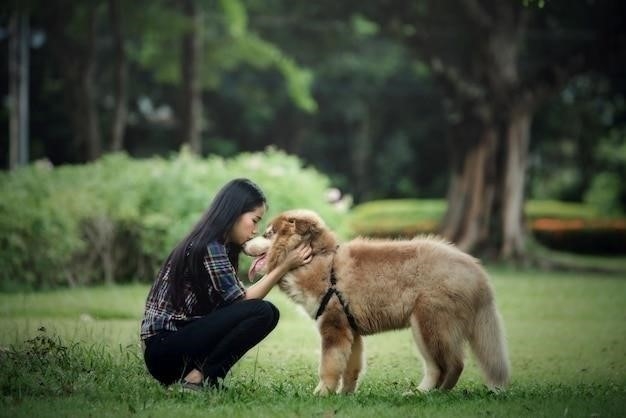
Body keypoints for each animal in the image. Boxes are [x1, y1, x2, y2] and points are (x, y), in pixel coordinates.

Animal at [243, 209, 508, 396]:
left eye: (268, 234)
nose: (244, 243)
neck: (319, 260)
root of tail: (475, 270)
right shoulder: (350, 329)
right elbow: (350, 367)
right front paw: (345, 395)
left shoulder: (333, 327)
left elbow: (328, 366)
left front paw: (321, 393)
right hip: (426, 327)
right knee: (439, 366)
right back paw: (421, 393)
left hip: (429, 324)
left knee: (452, 364)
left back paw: (434, 394)